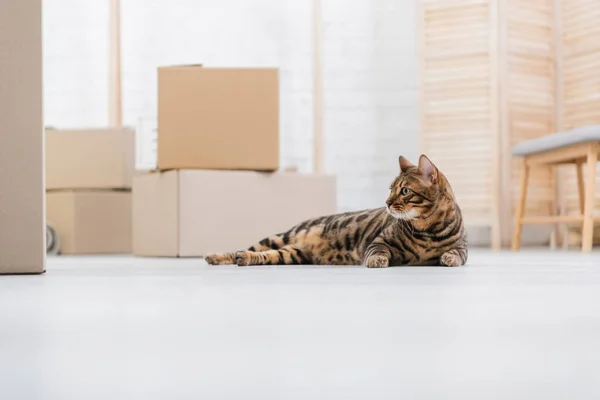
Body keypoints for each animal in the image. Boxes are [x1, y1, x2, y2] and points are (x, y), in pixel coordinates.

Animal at [206, 155, 468, 268]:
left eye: (404, 191)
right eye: (391, 189)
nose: (386, 202)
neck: (428, 230)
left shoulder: (463, 248)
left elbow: (456, 254)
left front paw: (449, 258)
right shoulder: (378, 241)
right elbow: (377, 251)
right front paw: (377, 261)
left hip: (293, 253)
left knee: (266, 255)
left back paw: (244, 259)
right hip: (280, 236)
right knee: (247, 248)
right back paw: (219, 256)